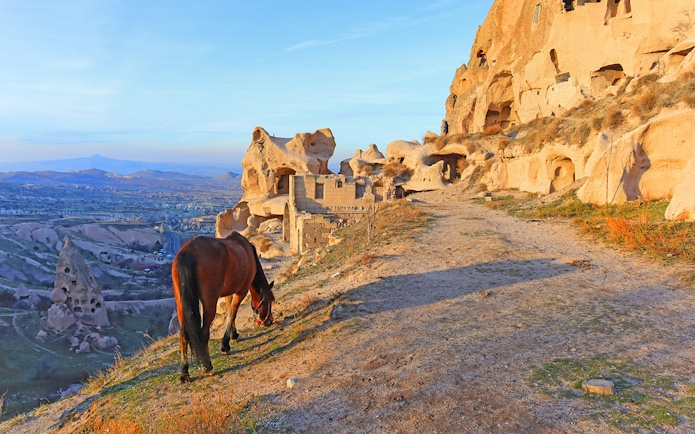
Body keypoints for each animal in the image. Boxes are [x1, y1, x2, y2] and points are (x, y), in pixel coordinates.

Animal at [172, 232, 275, 383]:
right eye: (270, 302)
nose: (270, 321)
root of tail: (188, 251)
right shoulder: (241, 291)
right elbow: (233, 313)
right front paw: (226, 344)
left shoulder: (229, 293)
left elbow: (229, 311)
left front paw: (234, 334)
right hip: (209, 302)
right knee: (204, 332)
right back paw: (208, 367)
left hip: (181, 304)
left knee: (183, 334)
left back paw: (184, 371)